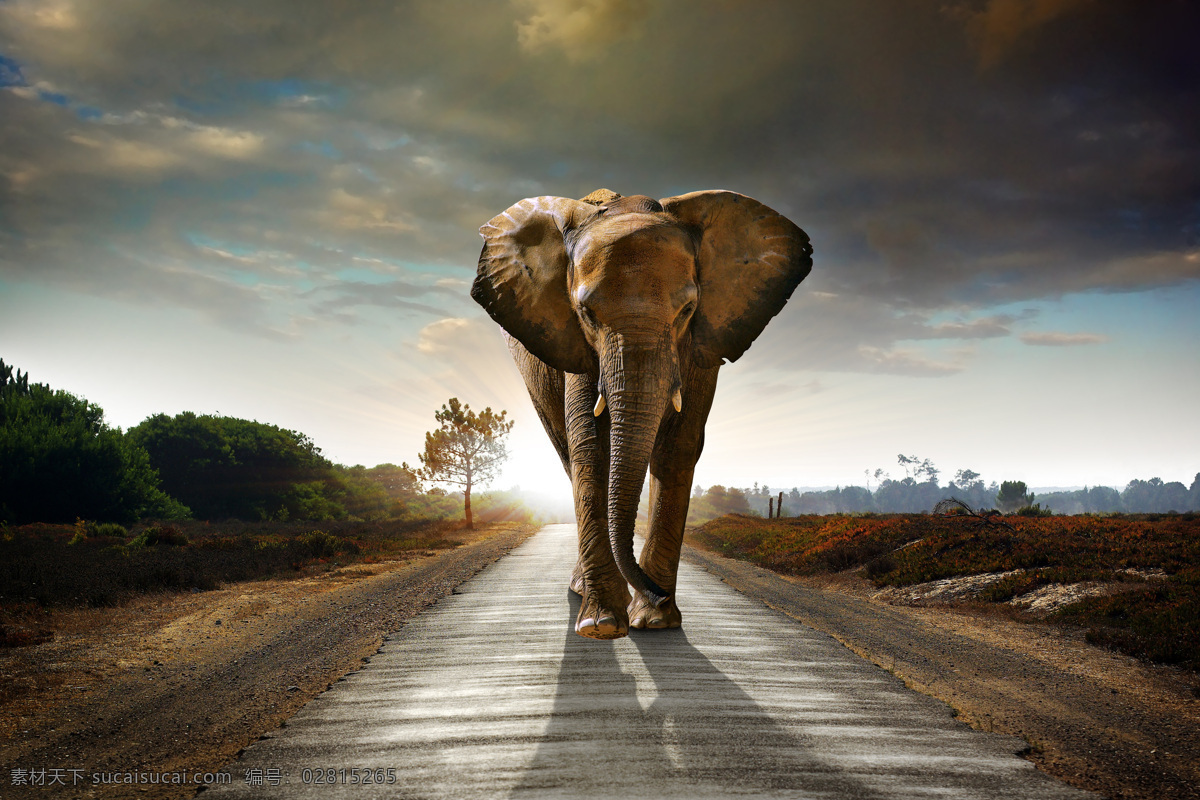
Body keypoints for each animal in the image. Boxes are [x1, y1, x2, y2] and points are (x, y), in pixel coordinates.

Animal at [472, 185, 811, 638]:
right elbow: (591, 447)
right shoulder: (577, 347)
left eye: (687, 310)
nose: (657, 593)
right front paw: (602, 625)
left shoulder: (702, 345)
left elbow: (678, 447)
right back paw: (584, 592)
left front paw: (654, 621)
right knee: (567, 454)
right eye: (586, 313)